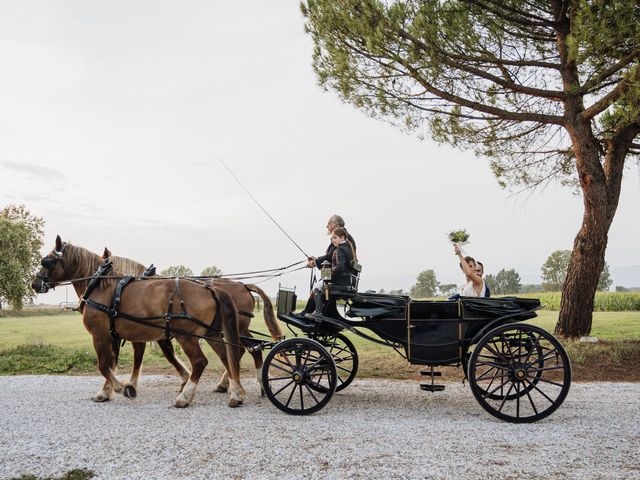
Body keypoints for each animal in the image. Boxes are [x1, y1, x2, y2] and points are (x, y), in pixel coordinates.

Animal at [33, 234, 246, 406]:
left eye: (47, 261)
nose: (35, 283)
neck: (100, 285)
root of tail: (210, 289)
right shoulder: (118, 335)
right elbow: (114, 363)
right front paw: (106, 392)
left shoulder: (101, 336)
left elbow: (104, 365)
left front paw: (123, 388)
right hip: (211, 334)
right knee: (227, 357)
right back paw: (235, 393)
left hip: (186, 336)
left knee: (201, 362)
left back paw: (185, 397)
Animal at [102, 248, 282, 394]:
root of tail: (243, 285)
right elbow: (167, 354)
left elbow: (150, 356)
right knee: (241, 349)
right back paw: (227, 384)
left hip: (238, 327)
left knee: (251, 349)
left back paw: (257, 383)